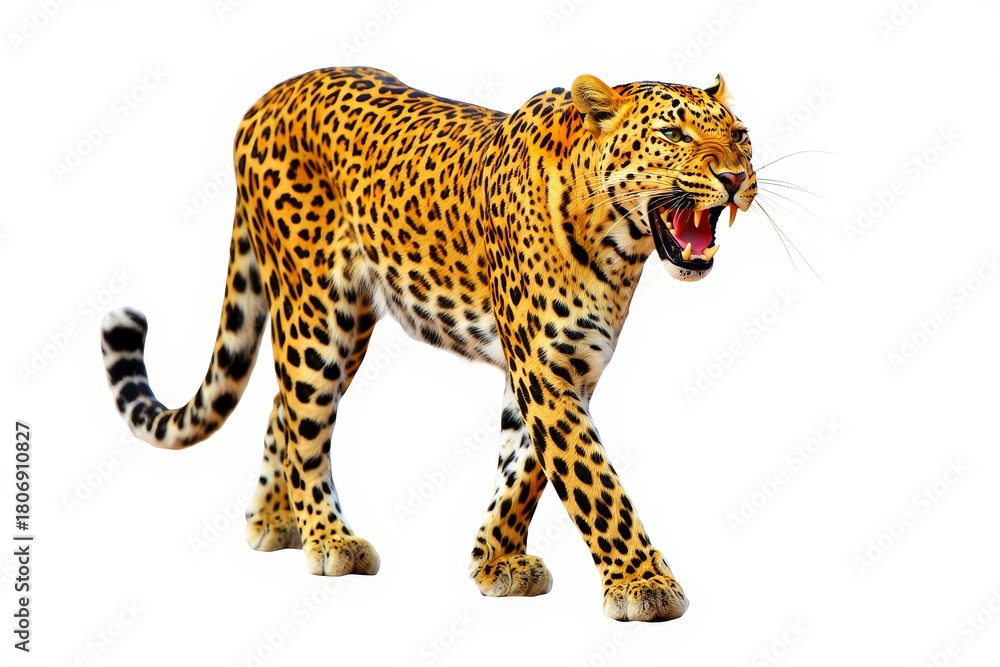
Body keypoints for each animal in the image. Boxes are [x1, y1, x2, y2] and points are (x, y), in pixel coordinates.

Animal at [100, 66, 756, 621]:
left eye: (740, 136)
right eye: (672, 133)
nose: (735, 178)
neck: (620, 245)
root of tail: (266, 99)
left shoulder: (564, 368)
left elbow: (524, 469)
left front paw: (495, 560)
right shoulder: (544, 370)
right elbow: (594, 481)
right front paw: (644, 584)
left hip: (349, 327)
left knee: (282, 408)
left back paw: (274, 520)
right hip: (315, 311)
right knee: (305, 421)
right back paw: (330, 539)